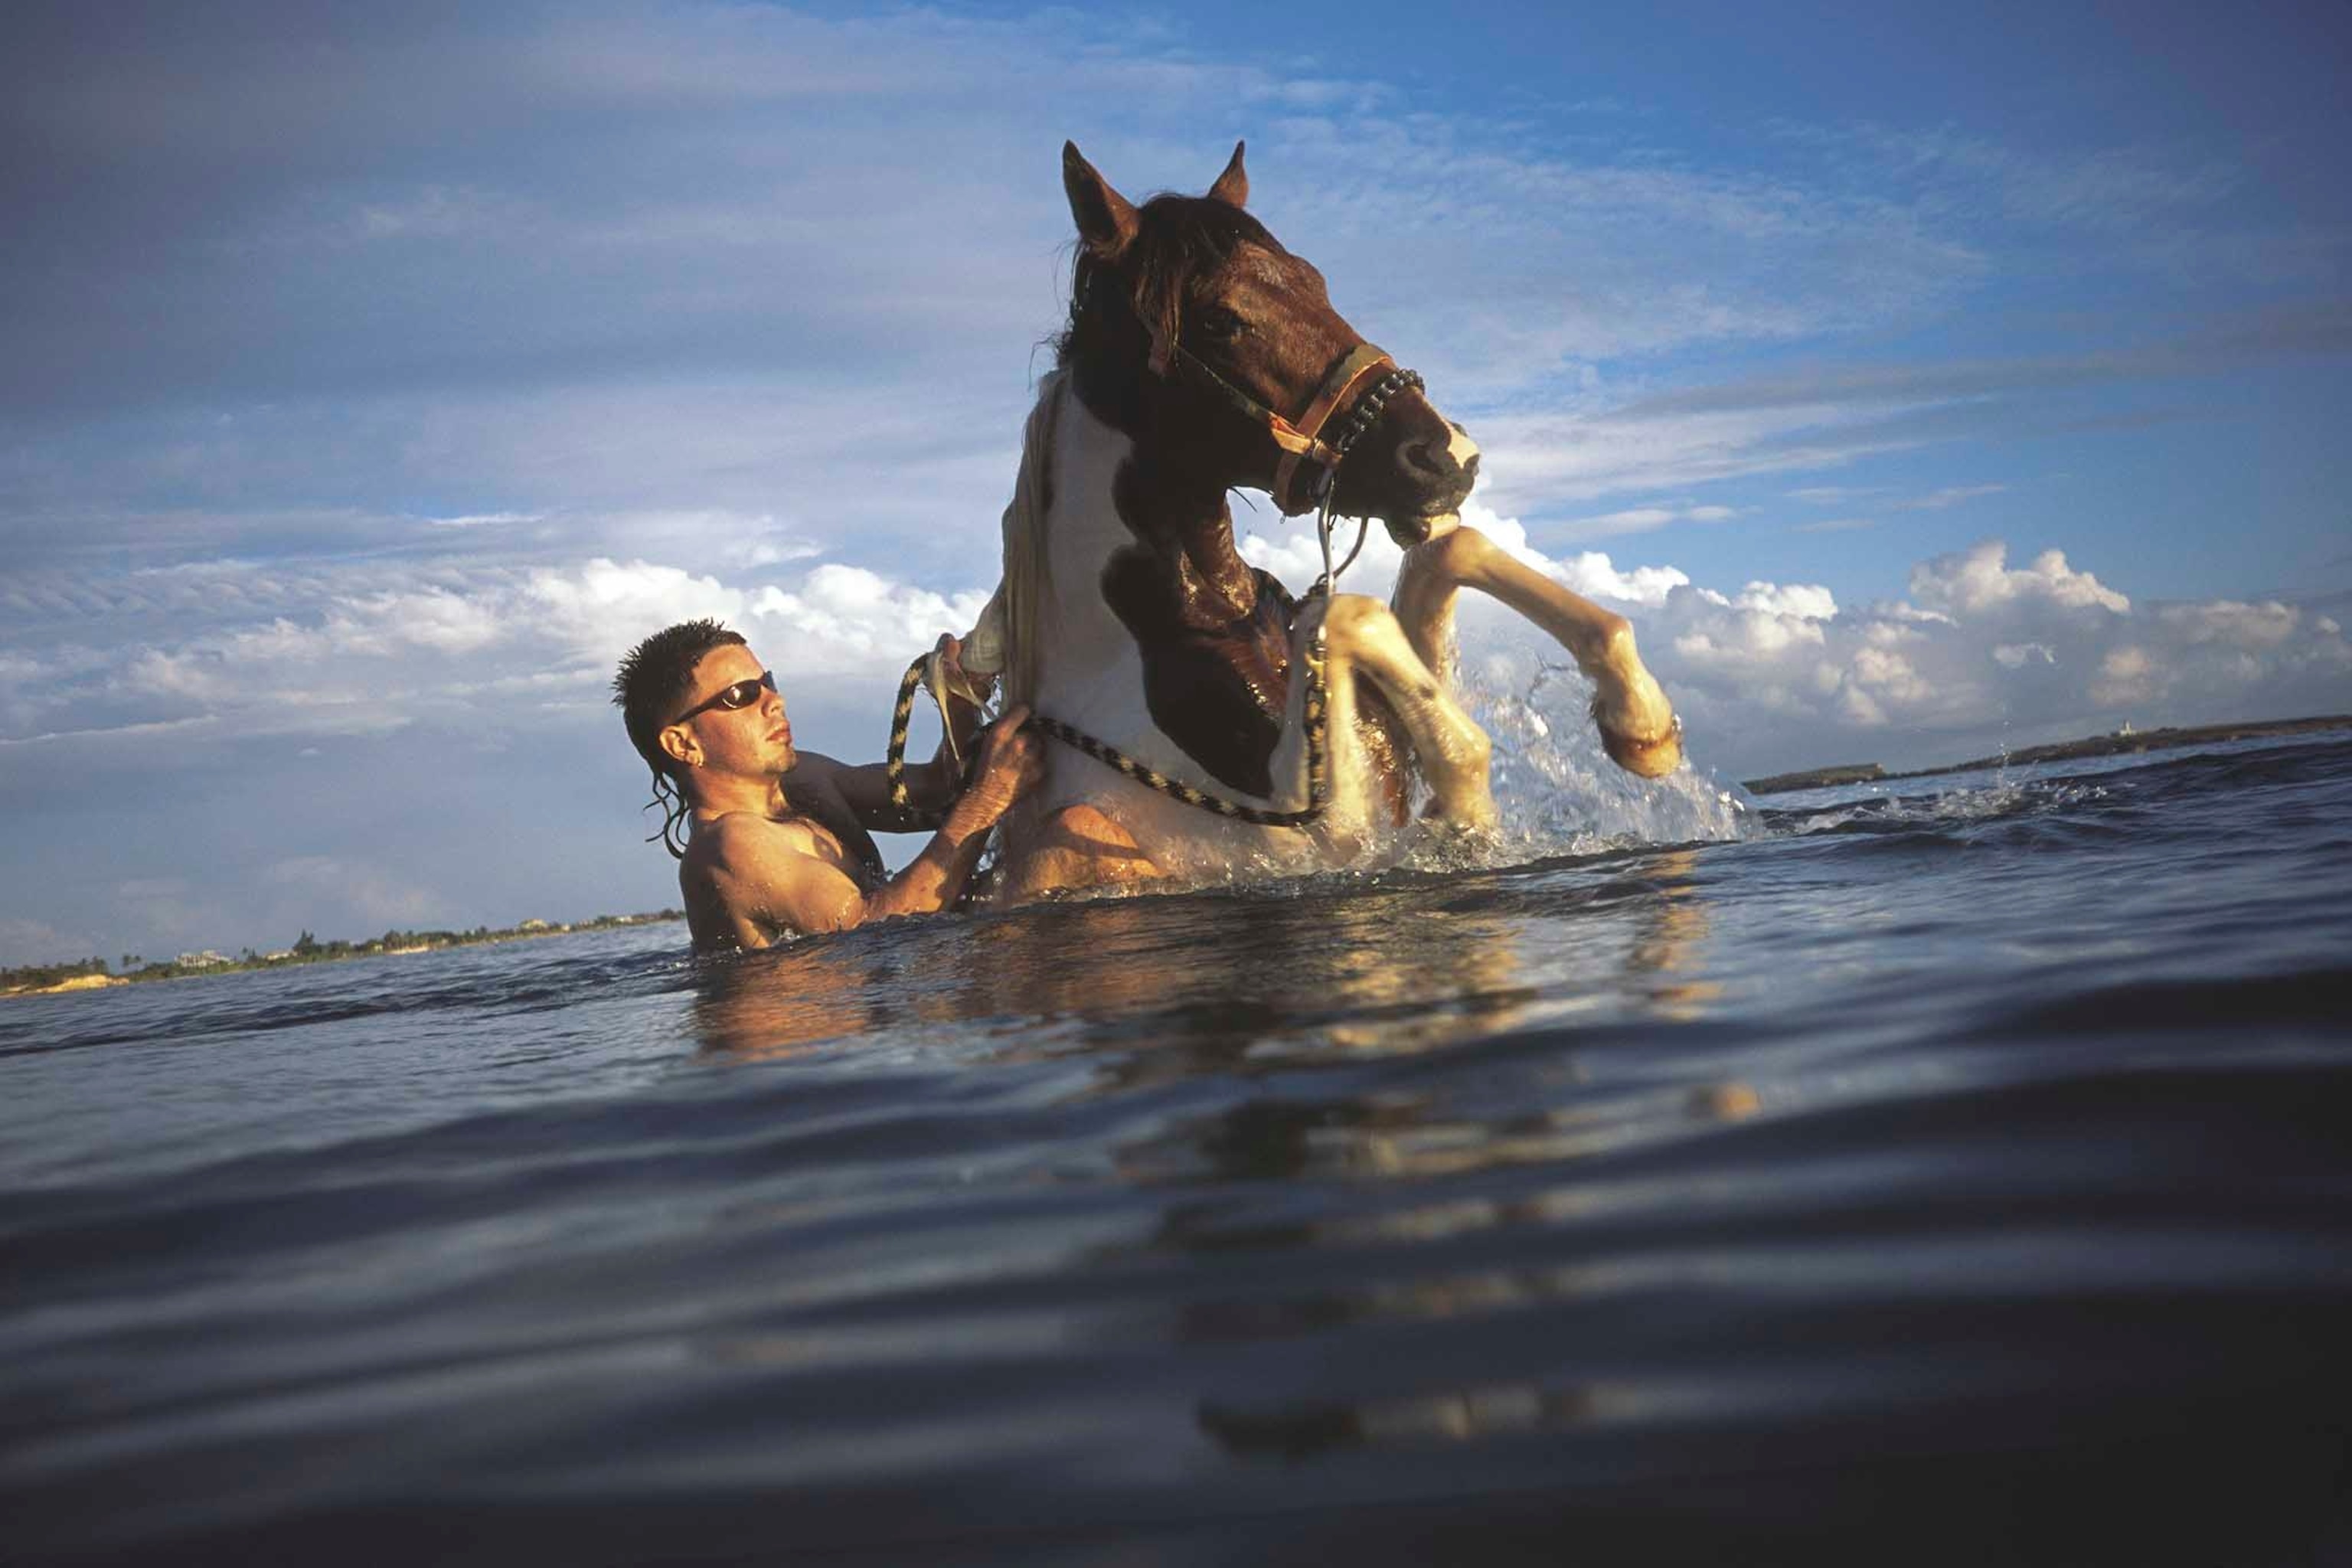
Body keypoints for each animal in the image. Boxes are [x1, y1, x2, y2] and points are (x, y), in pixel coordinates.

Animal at [947, 141, 1683, 898]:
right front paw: (1468, 808)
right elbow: (1348, 614)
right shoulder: (1323, 838)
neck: (1177, 635)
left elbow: (1450, 551)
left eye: (1315, 281)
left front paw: (1643, 728)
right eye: (1220, 319)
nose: (1446, 454)